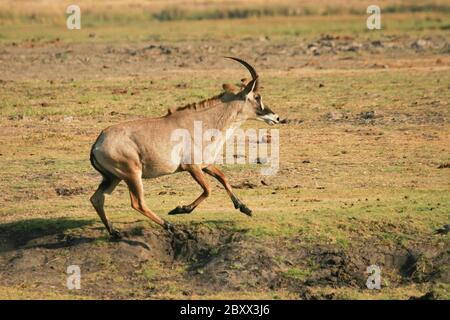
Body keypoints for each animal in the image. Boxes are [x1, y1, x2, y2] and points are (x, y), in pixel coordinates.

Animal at [89, 57, 278, 238]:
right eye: (257, 97)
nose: (276, 117)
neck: (201, 122)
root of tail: (97, 143)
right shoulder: (192, 167)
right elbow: (208, 190)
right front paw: (180, 209)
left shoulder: (205, 165)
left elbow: (223, 178)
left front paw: (244, 208)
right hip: (132, 174)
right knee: (138, 203)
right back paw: (171, 227)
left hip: (113, 178)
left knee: (97, 199)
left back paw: (115, 232)